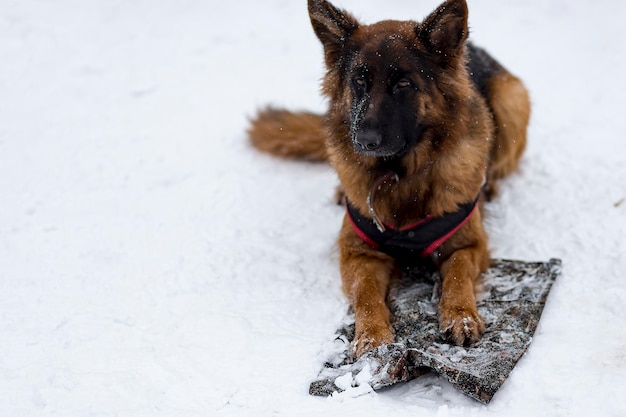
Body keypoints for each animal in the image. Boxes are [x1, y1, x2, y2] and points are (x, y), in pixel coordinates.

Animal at [246, 0, 528, 356]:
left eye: (403, 84)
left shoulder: (468, 245)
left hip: (512, 99)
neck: (400, 176)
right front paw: (372, 335)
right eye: (359, 81)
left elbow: (458, 276)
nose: (364, 140)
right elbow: (366, 293)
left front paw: (460, 316)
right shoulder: (358, 253)